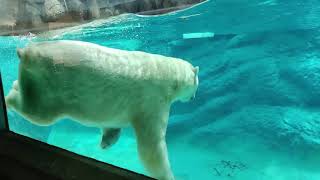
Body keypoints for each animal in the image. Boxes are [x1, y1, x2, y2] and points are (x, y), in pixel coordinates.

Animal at [6, 40, 199, 179]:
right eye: (197, 83)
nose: (194, 97)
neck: (169, 72)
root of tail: (27, 53)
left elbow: (112, 124)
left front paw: (106, 142)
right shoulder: (153, 99)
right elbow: (151, 146)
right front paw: (167, 175)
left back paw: (14, 86)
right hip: (50, 84)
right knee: (38, 112)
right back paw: (9, 101)